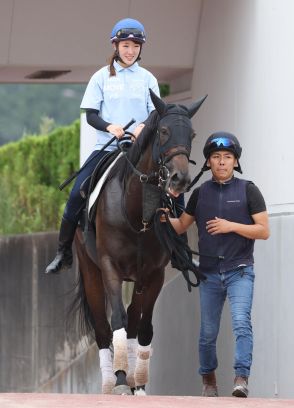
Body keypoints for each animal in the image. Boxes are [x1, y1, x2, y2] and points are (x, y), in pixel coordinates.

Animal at [71, 90, 206, 396]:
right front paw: (121, 379)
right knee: (102, 328)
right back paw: (110, 382)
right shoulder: (110, 268)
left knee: (134, 321)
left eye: (192, 134)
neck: (136, 212)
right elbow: (117, 321)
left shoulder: (153, 274)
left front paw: (139, 382)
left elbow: (143, 327)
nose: (180, 179)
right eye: (164, 131)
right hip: (90, 271)